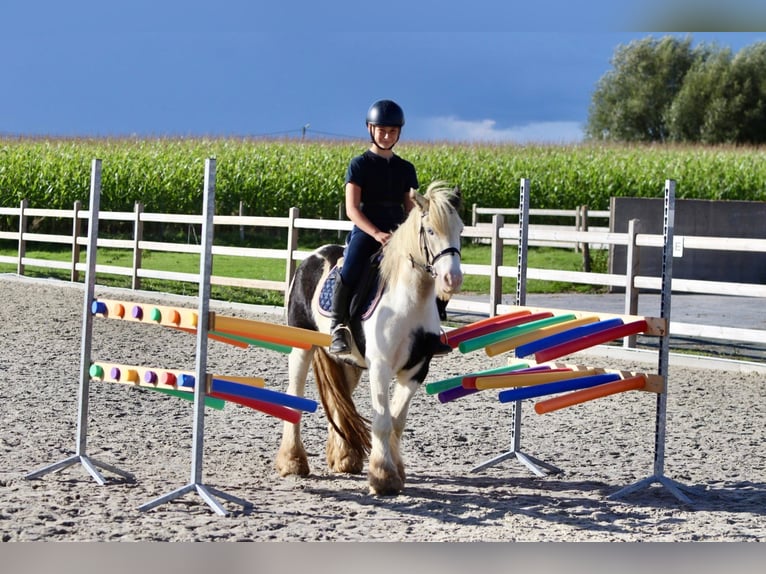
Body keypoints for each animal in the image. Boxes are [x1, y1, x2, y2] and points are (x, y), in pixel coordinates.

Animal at [280, 182, 464, 498]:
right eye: (430, 230)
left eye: (461, 229)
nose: (452, 279)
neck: (409, 301)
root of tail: (313, 256)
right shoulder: (380, 366)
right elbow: (381, 421)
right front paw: (383, 477)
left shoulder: (417, 368)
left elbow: (397, 422)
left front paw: (396, 472)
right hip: (302, 349)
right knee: (295, 397)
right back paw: (293, 462)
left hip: (348, 362)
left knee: (340, 402)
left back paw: (344, 458)